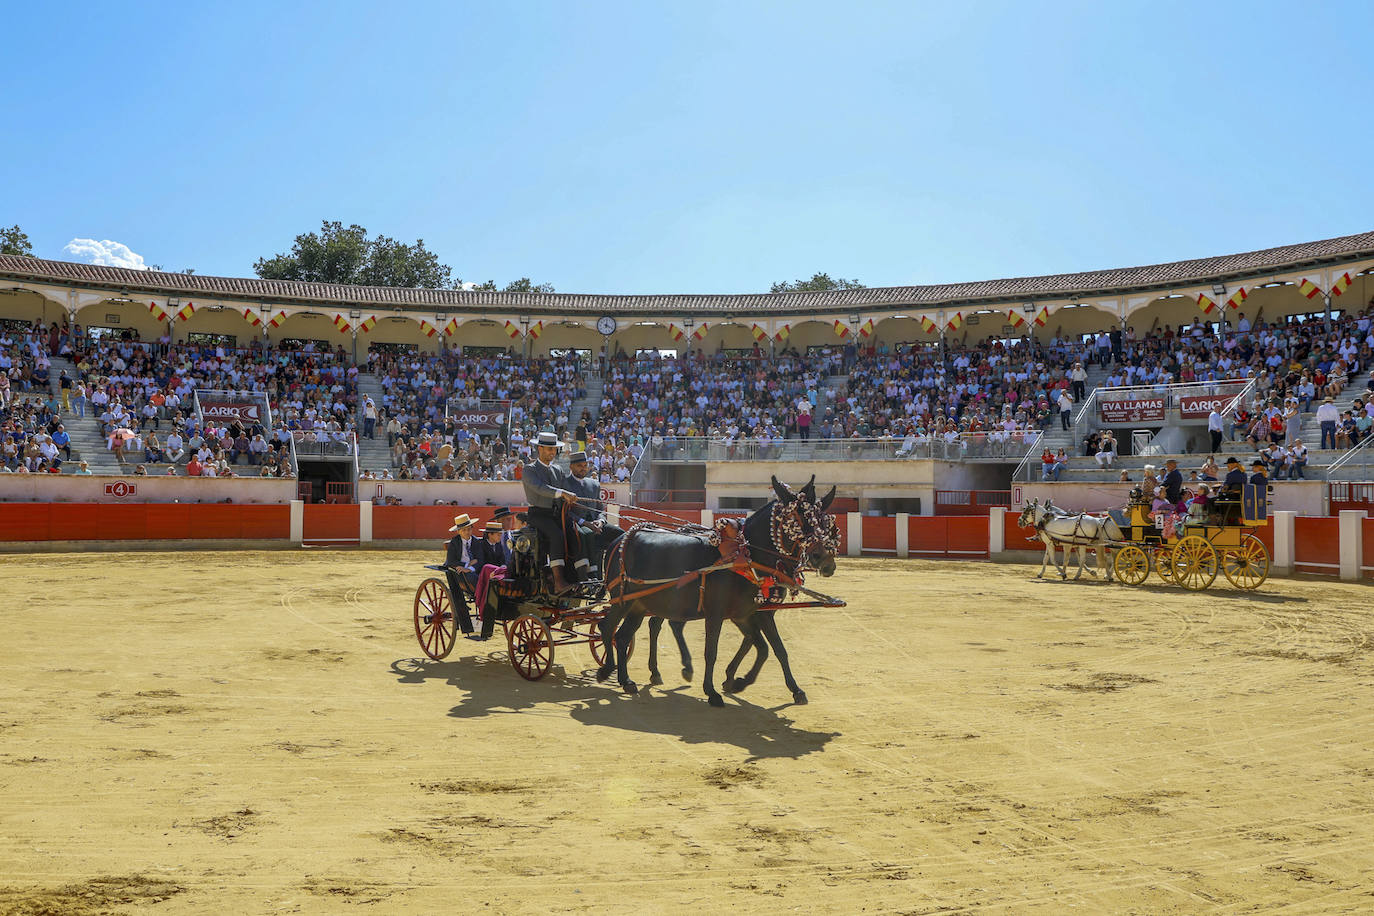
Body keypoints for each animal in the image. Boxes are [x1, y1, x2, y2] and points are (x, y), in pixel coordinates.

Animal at [599, 477, 835, 708]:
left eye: (824, 523)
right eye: (796, 519)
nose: (825, 560)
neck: (744, 556)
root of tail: (619, 540)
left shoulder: (753, 613)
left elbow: (773, 648)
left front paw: (789, 689)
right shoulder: (717, 614)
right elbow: (712, 651)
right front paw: (712, 691)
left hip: (640, 604)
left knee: (623, 636)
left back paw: (627, 679)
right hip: (622, 600)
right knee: (608, 627)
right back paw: (608, 668)